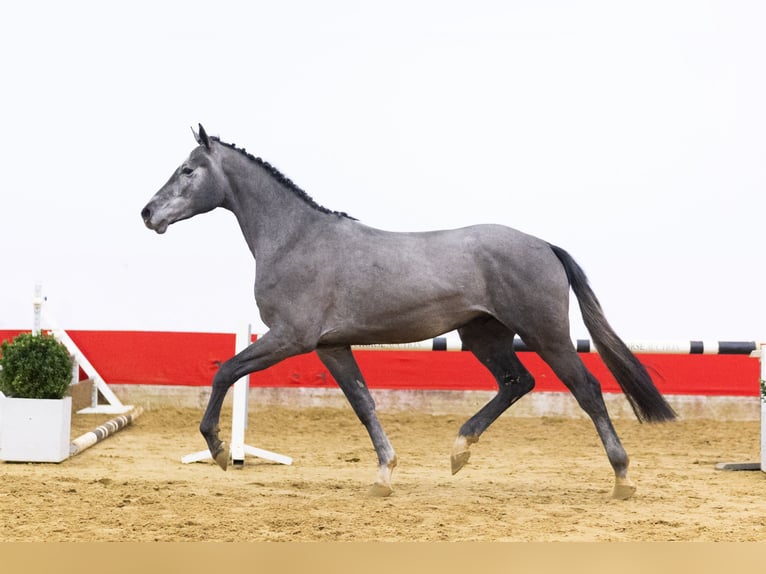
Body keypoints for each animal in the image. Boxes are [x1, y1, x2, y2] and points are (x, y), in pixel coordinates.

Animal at [141, 125, 676, 499]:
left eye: (188, 170)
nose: (148, 213)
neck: (296, 239)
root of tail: (544, 245)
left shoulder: (291, 337)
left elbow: (225, 372)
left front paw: (218, 449)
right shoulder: (331, 345)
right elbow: (363, 403)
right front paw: (384, 474)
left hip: (547, 335)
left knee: (586, 390)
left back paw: (622, 478)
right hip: (484, 336)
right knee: (517, 382)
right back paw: (460, 450)